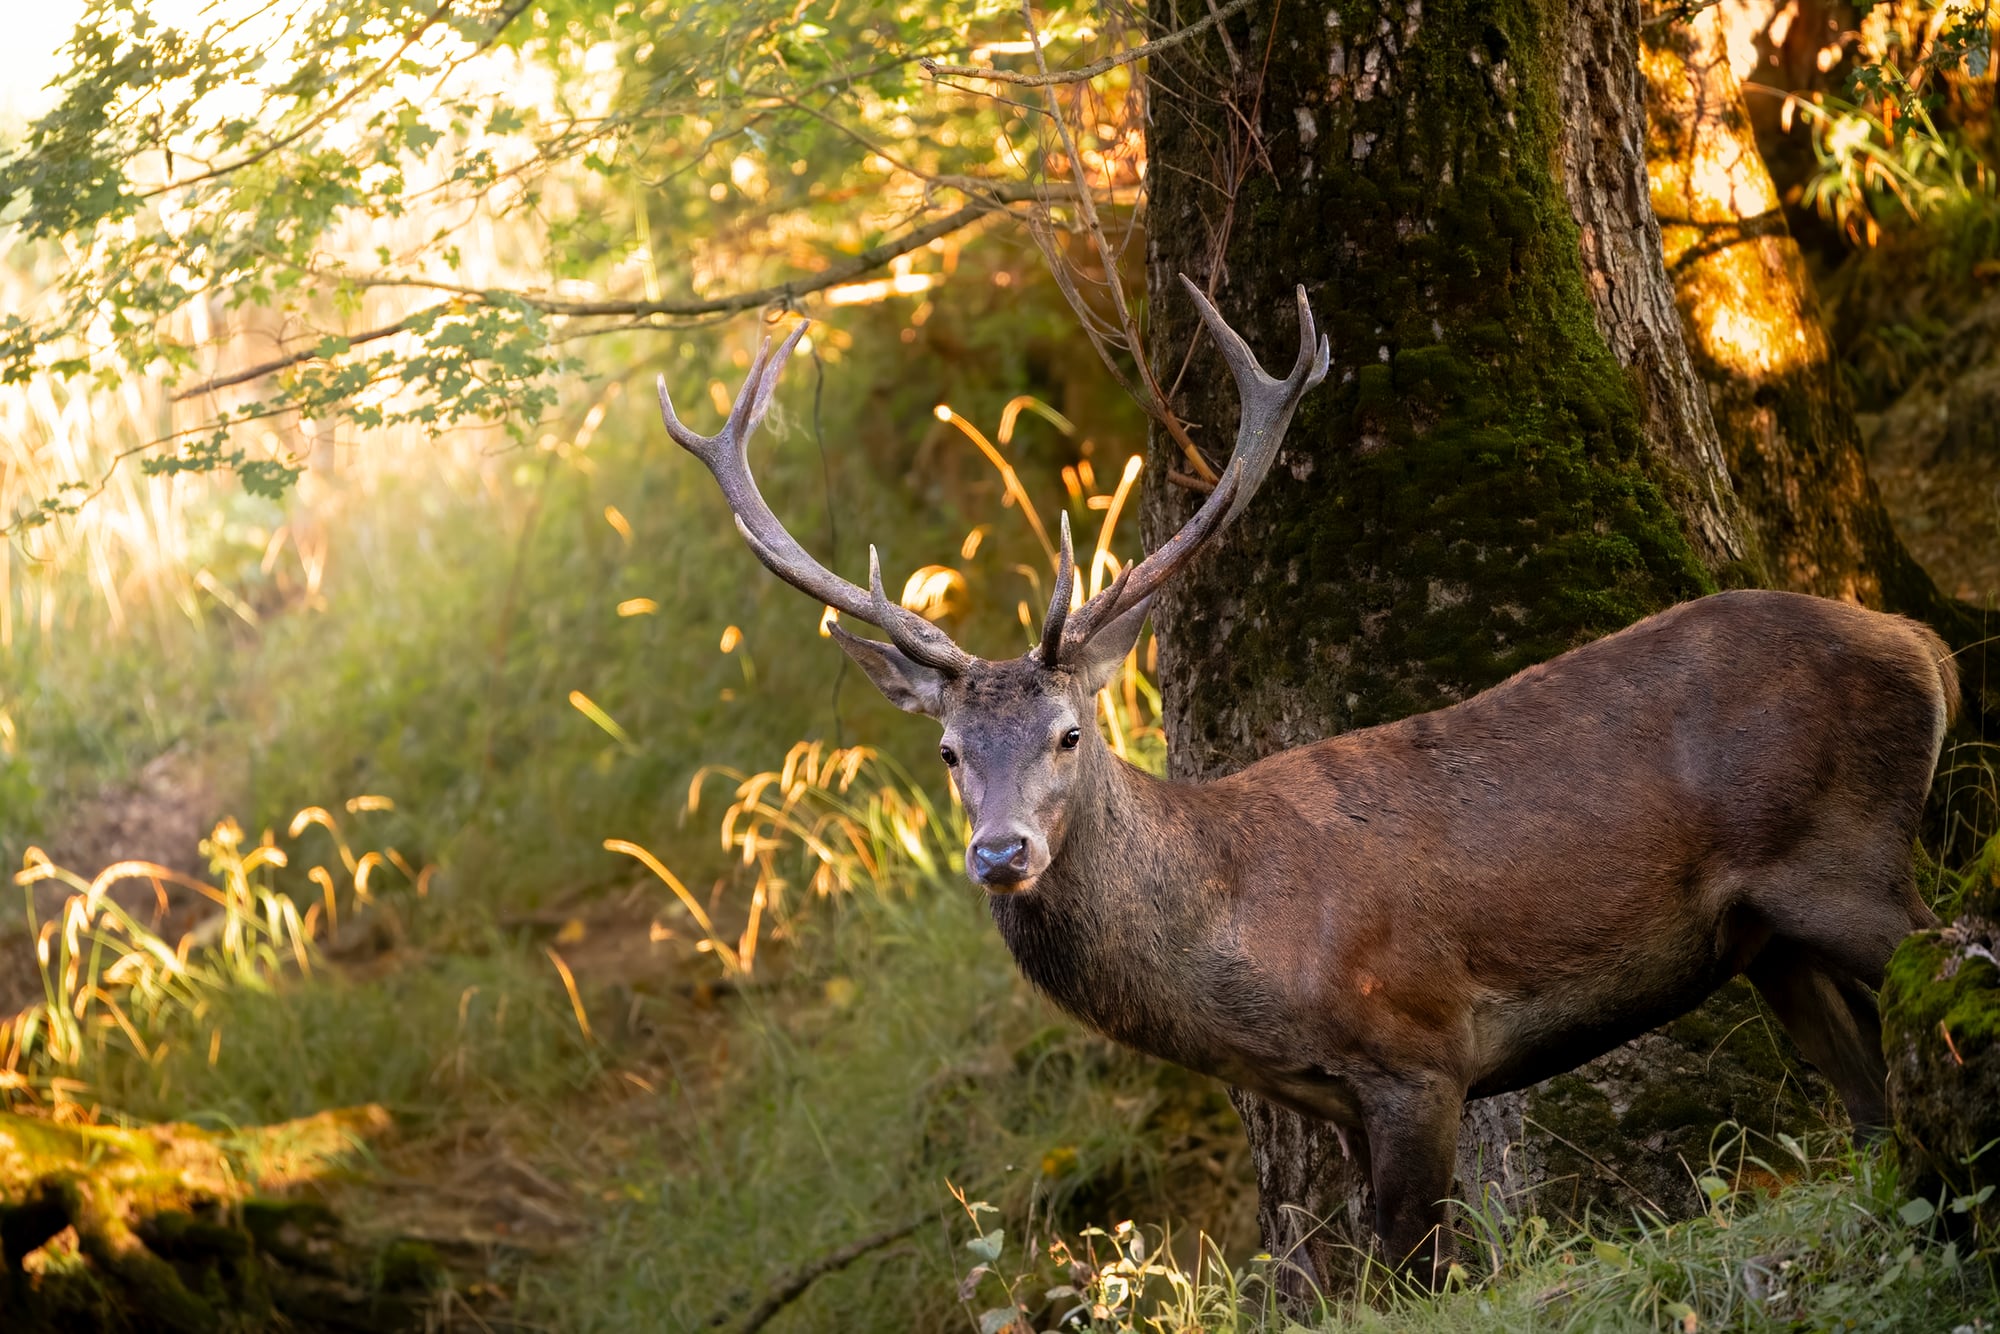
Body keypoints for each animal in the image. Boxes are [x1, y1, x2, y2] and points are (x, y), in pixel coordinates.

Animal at [656, 279, 1957, 1286]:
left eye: (1070, 732)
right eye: (945, 753)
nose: (999, 852)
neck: (1242, 952)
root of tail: (1920, 646)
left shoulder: (1421, 1045)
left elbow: (1415, 1267)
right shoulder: (1330, 1097)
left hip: (1842, 852)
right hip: (1766, 935)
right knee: (1867, 1097)